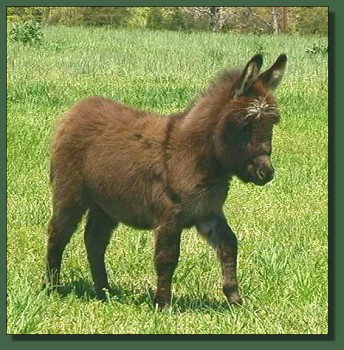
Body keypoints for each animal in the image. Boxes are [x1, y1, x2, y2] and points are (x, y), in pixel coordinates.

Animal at [44, 53, 286, 308]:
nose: (266, 173)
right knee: (58, 233)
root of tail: (75, 110)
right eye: (246, 124)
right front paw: (163, 304)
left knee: (95, 240)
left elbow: (229, 245)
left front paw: (235, 299)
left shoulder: (207, 212)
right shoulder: (170, 216)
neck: (197, 156)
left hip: (106, 205)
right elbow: (167, 257)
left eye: (272, 122)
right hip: (71, 194)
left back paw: (104, 291)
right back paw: (52, 288)